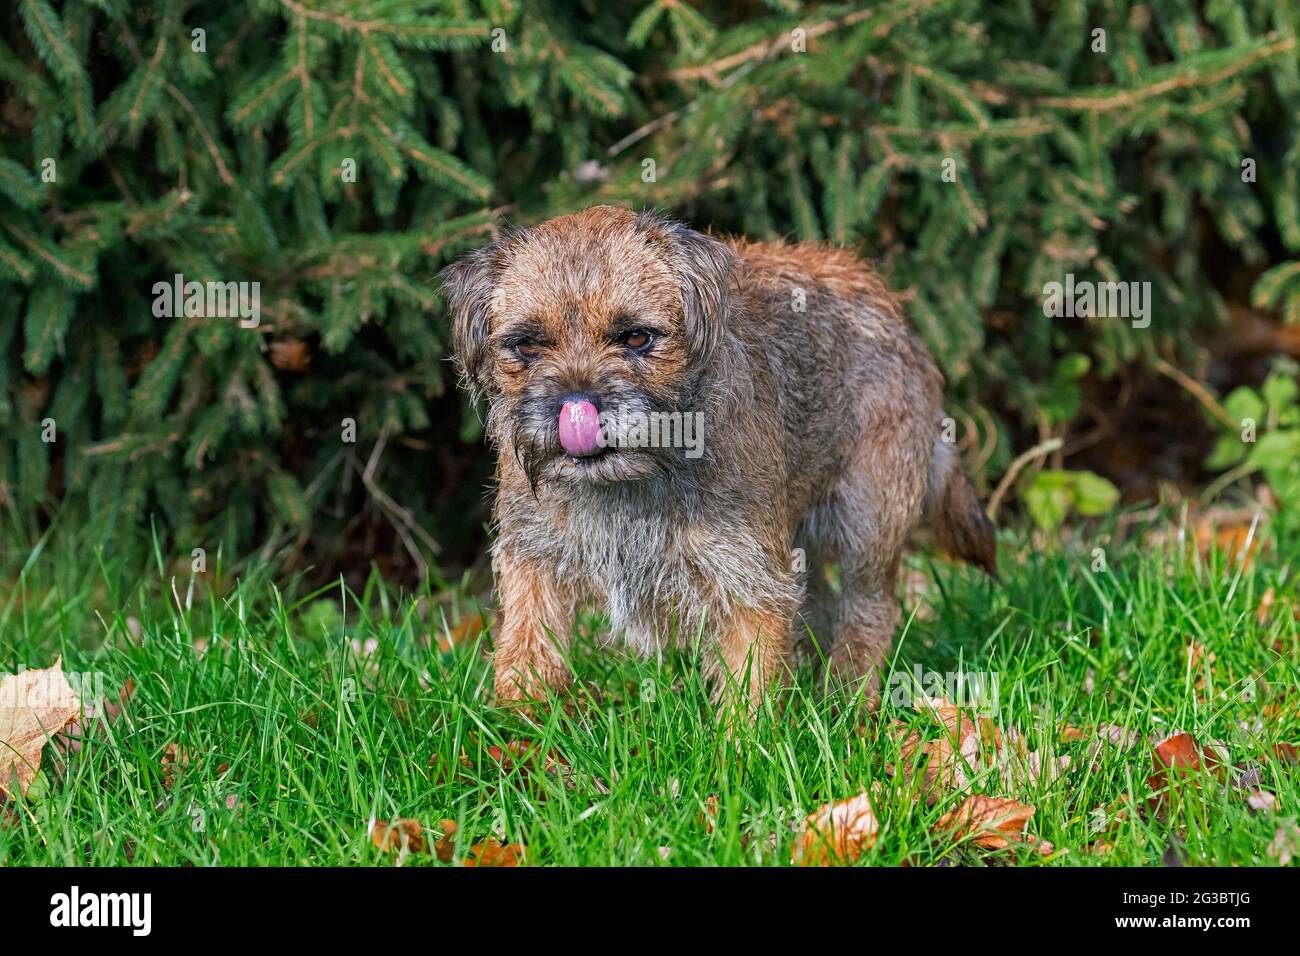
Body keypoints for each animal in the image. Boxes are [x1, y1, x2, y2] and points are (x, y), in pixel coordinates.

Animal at [441, 209, 987, 712]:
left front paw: (743, 746)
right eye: (528, 344)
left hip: (867, 522)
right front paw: (518, 730)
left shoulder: (749, 577)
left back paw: (847, 698)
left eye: (636, 337)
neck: (632, 481)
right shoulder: (534, 557)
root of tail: (897, 312)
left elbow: (749, 683)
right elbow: (527, 647)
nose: (576, 405)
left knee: (869, 610)